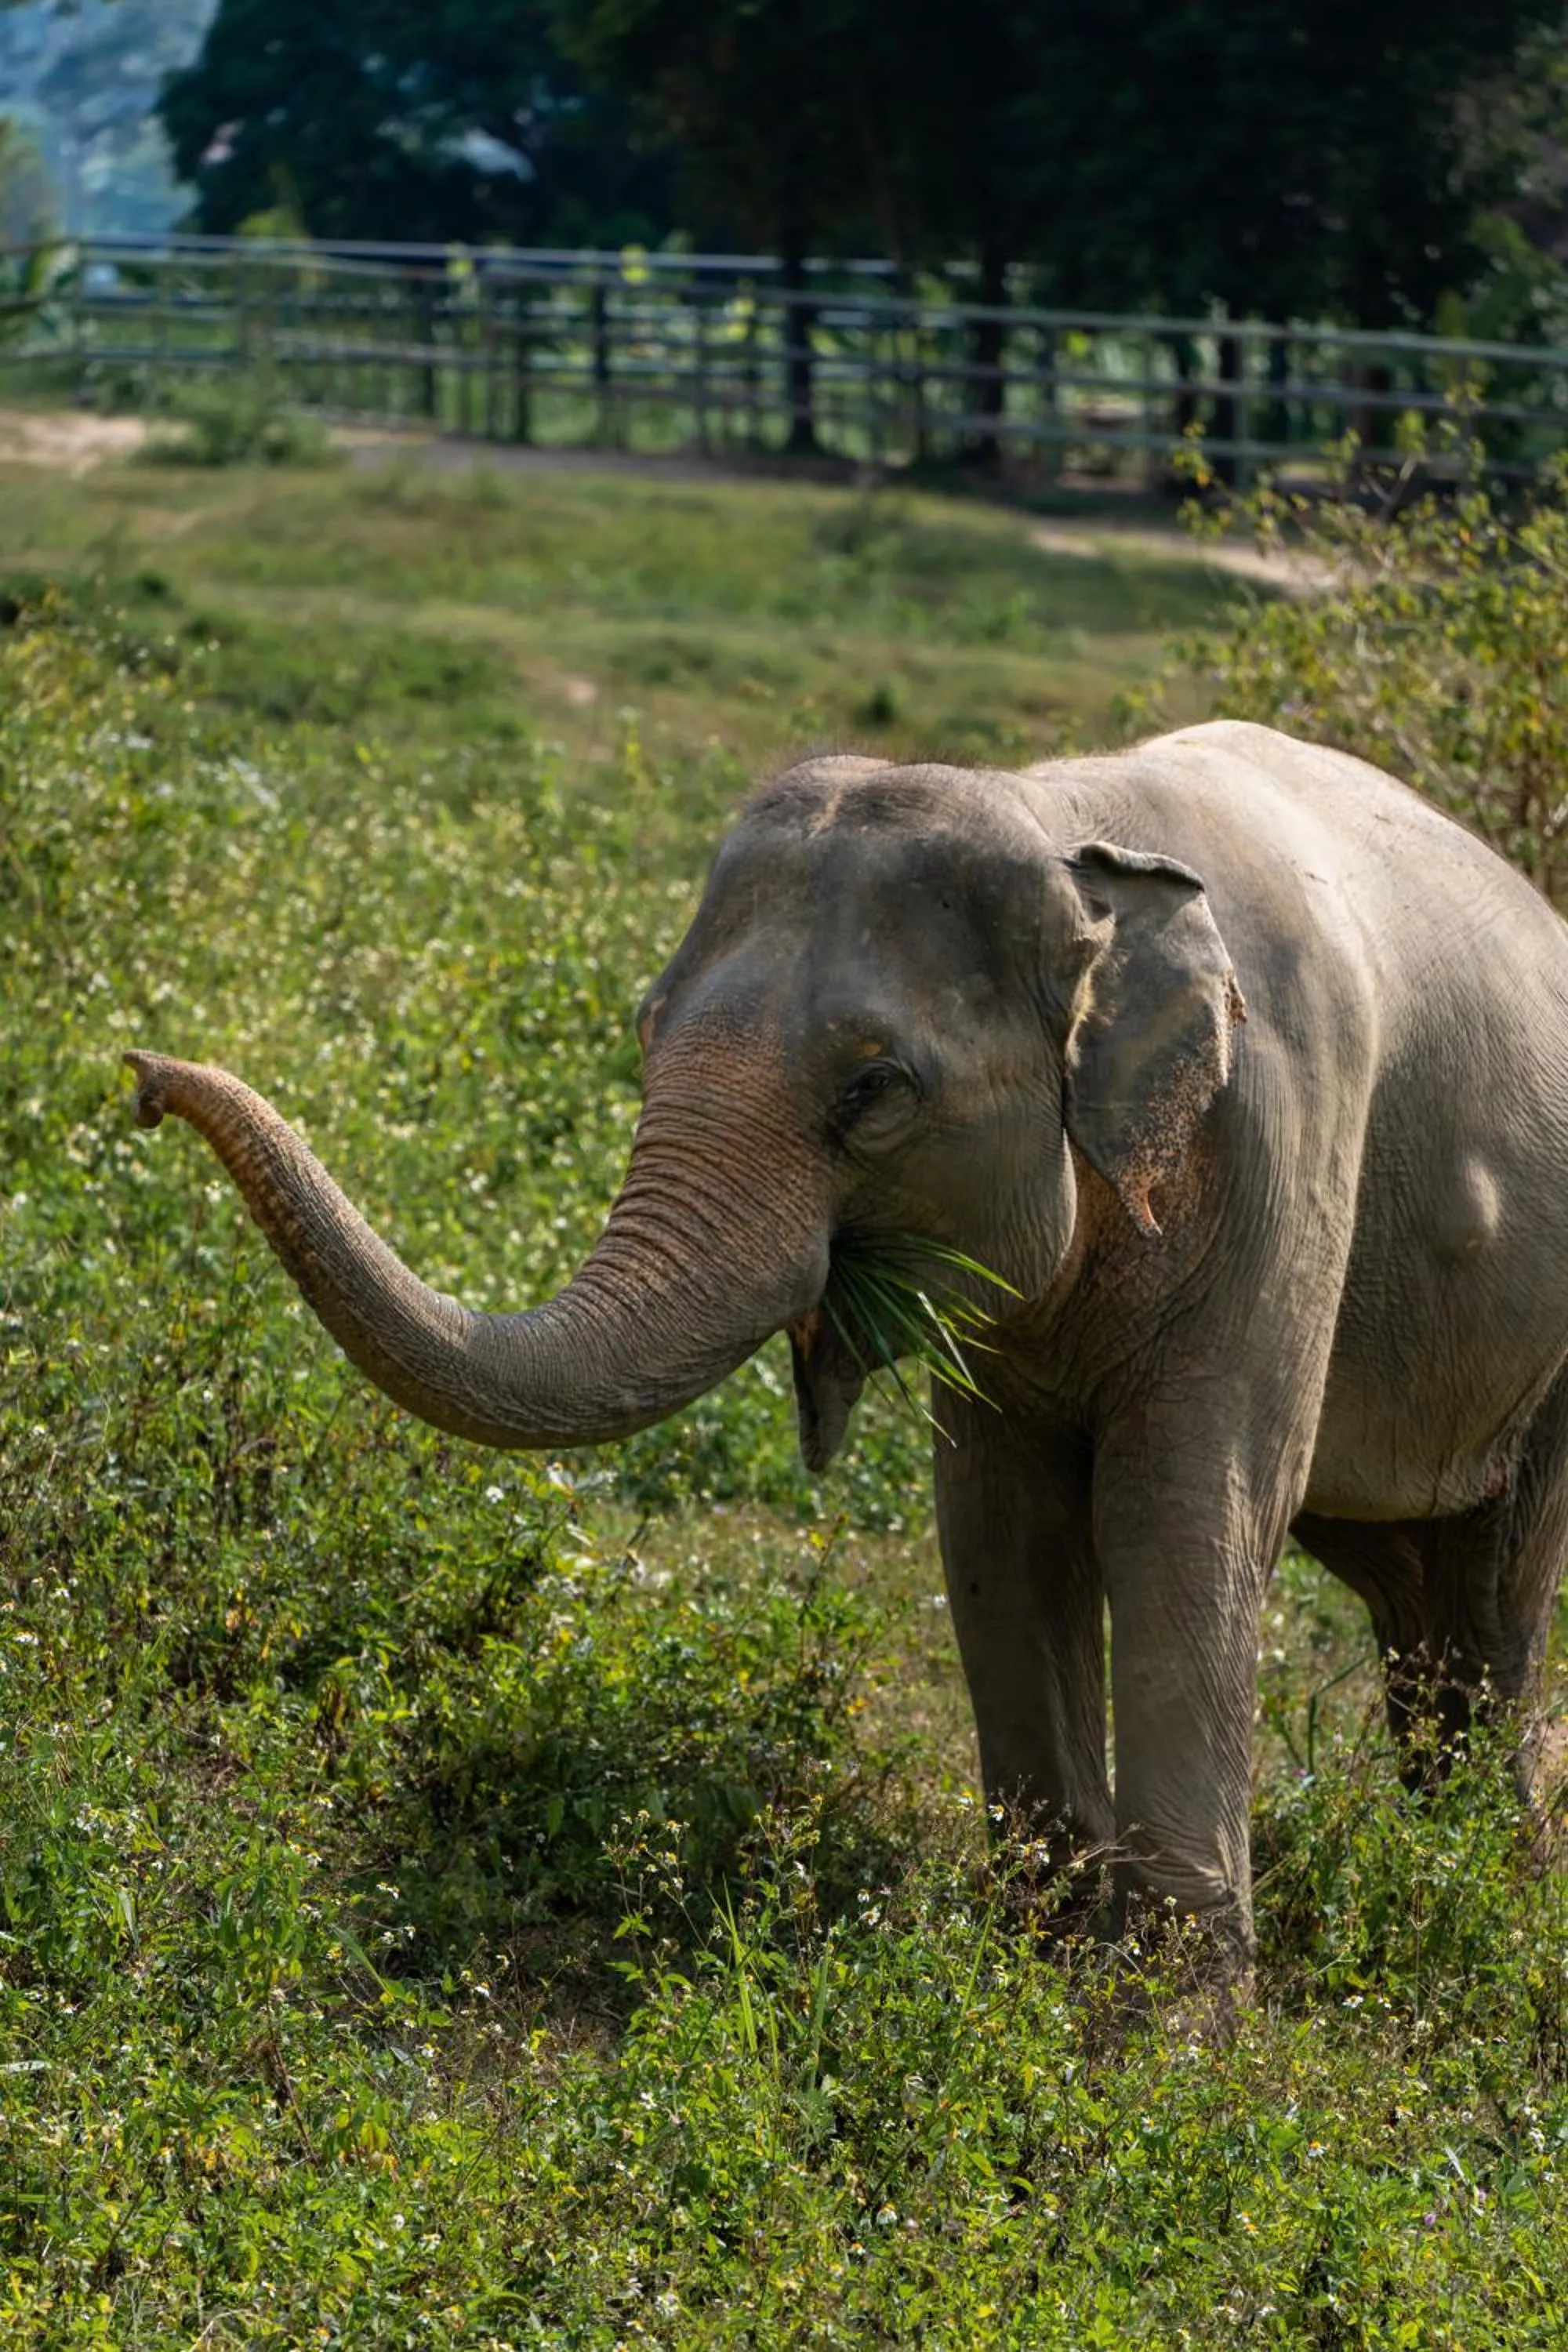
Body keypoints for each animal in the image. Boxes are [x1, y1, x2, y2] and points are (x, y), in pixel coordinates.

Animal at [125, 719, 1568, 1967]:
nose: (142, 1078)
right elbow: (999, 1530)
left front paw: (1166, 2054)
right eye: (645, 1031)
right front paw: (1043, 1986)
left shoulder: (1285, 1157)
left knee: (1490, 1604)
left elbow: (1183, 1519)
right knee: (1423, 1610)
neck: (1069, 825)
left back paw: (1487, 1908)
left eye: (873, 1091)